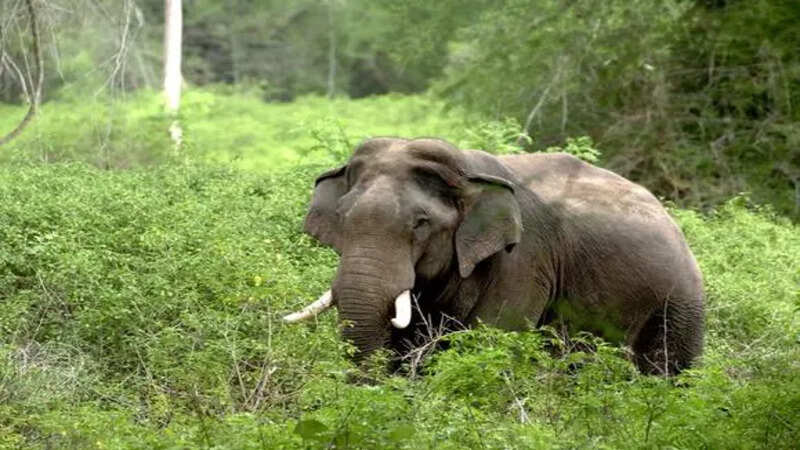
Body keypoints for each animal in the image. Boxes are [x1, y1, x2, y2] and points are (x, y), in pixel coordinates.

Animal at [284, 137, 704, 375]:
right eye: (342, 217)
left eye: (421, 223)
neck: (467, 172)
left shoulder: (523, 260)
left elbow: (491, 342)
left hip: (681, 303)